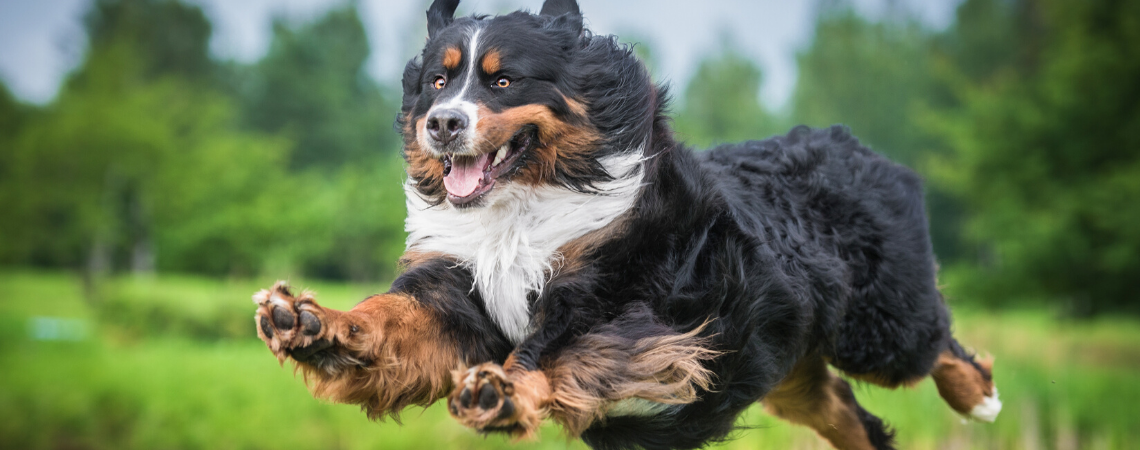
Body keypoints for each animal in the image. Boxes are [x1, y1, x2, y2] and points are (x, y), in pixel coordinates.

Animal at [254, 1, 1003, 448]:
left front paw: (499, 391)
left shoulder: (622, 298)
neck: (521, 211)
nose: (441, 125)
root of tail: (856, 145)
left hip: (879, 326)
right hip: (784, 361)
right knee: (847, 413)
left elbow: (554, 351)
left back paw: (981, 399)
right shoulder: (454, 292)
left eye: (503, 81)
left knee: (938, 344)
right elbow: (387, 321)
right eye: (438, 82)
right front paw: (307, 322)